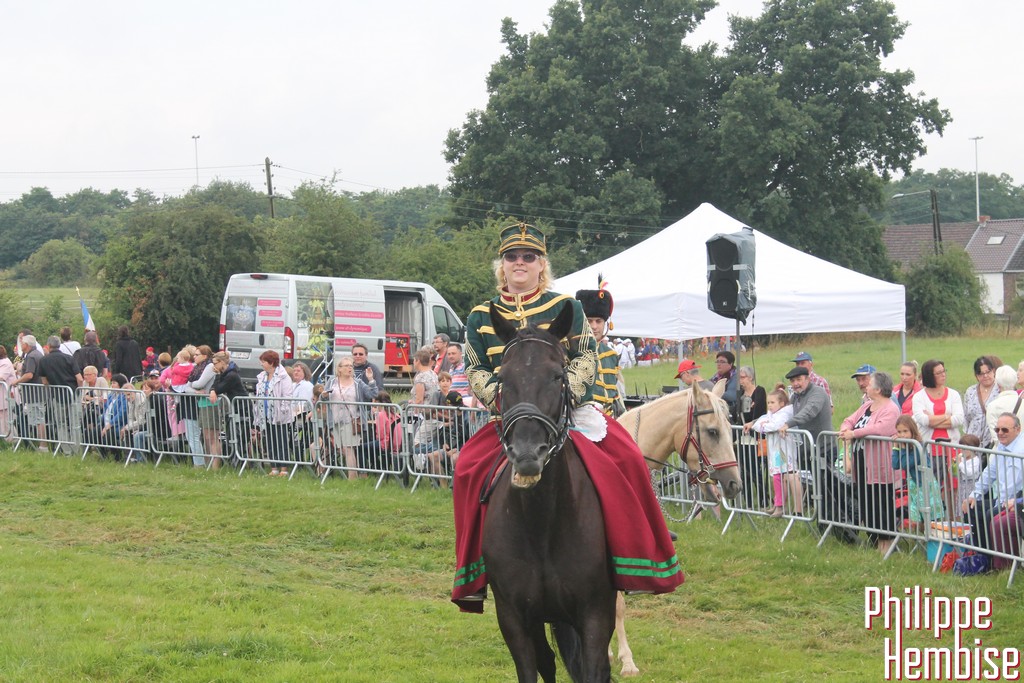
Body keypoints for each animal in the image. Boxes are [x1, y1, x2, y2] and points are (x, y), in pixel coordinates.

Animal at [481, 301, 616, 683]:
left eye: (558, 376)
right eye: (503, 379)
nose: (528, 454)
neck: (542, 525)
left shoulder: (596, 615)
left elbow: (594, 669)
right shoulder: (514, 618)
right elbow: (534, 667)